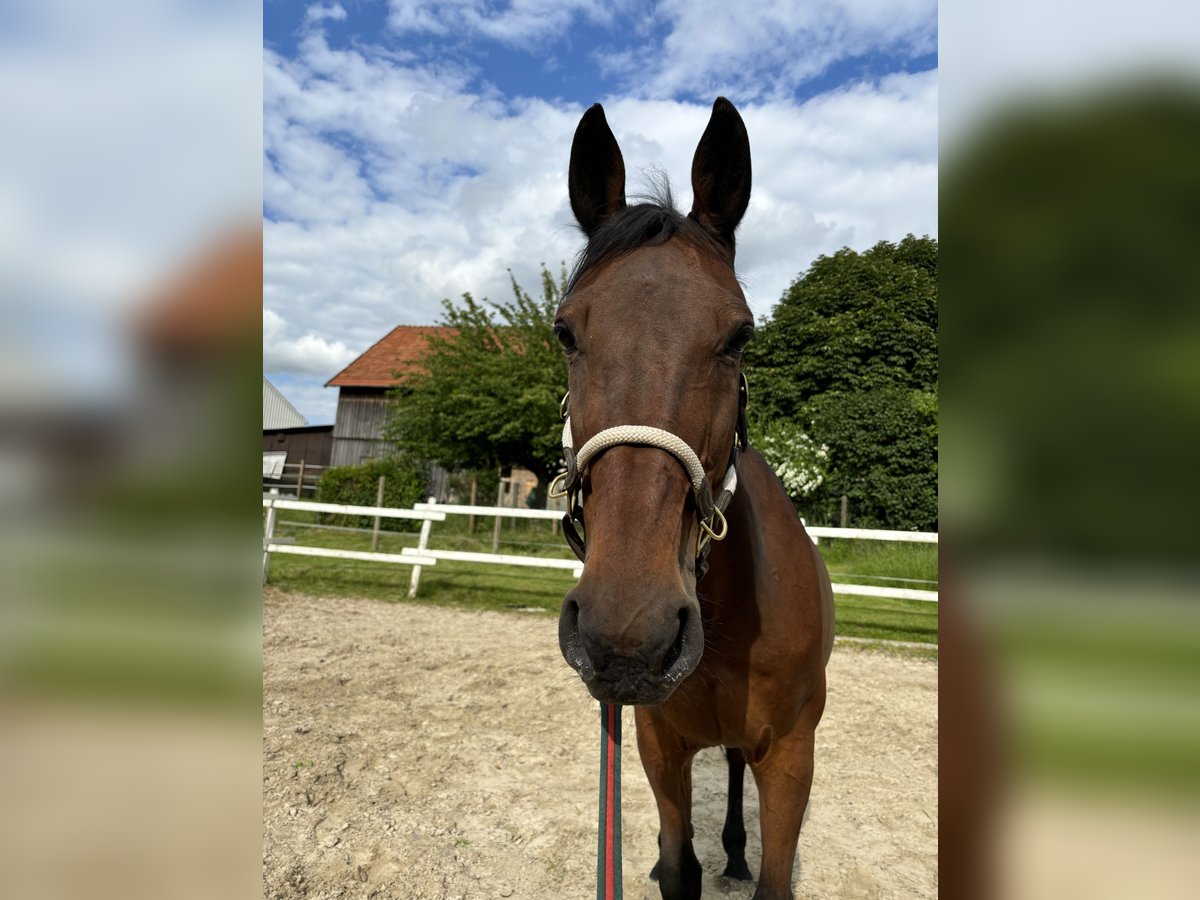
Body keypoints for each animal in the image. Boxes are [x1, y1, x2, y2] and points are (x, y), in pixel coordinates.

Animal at [552, 98, 835, 900]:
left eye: (740, 335)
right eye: (565, 332)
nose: (627, 633)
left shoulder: (791, 754)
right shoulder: (656, 741)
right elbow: (680, 867)